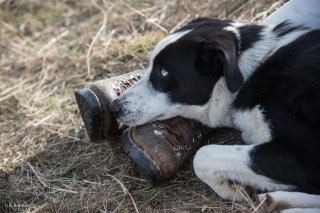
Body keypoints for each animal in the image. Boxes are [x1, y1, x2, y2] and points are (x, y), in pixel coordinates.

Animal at [110, 19, 320, 212]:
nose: (114, 107)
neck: (249, 74)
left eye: (163, 72)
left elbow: (203, 155)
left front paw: (229, 188)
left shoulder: (307, 158)